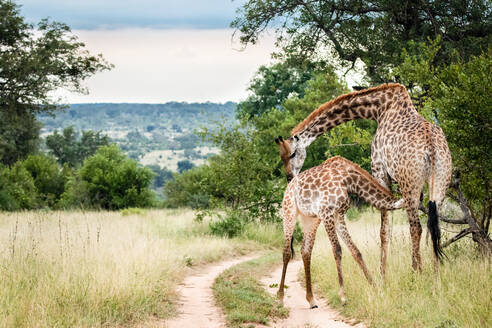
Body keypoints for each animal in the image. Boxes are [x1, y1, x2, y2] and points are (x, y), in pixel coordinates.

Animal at [276, 83, 450, 272]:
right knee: (433, 226)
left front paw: (382, 274)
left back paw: (416, 272)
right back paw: (435, 275)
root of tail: (431, 148)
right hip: (440, 183)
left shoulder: (379, 171)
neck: (379, 109)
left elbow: (384, 230)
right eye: (282, 157)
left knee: (416, 227)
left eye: (292, 154)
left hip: (409, 184)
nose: (289, 177)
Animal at [276, 155, 404, 306]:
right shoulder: (327, 212)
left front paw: (374, 287)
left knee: (306, 251)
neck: (349, 181)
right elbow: (337, 250)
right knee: (286, 251)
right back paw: (280, 297)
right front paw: (343, 296)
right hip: (289, 211)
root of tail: (289, 186)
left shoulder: (338, 215)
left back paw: (311, 299)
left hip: (310, 218)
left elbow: (355, 251)